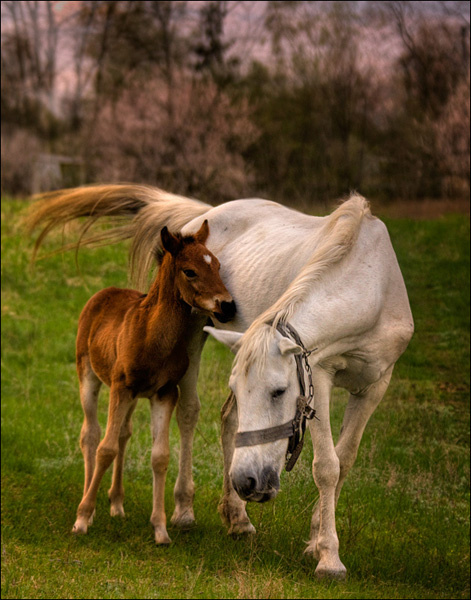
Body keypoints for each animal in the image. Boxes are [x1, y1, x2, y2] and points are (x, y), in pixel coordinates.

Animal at [74, 220, 236, 544]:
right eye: (190, 271)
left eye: (218, 265)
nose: (227, 306)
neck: (152, 338)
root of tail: (104, 292)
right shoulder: (121, 387)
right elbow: (105, 449)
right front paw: (82, 519)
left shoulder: (164, 392)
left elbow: (160, 456)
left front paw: (160, 528)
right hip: (89, 373)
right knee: (91, 435)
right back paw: (91, 505)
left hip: (134, 394)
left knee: (123, 434)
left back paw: (116, 503)